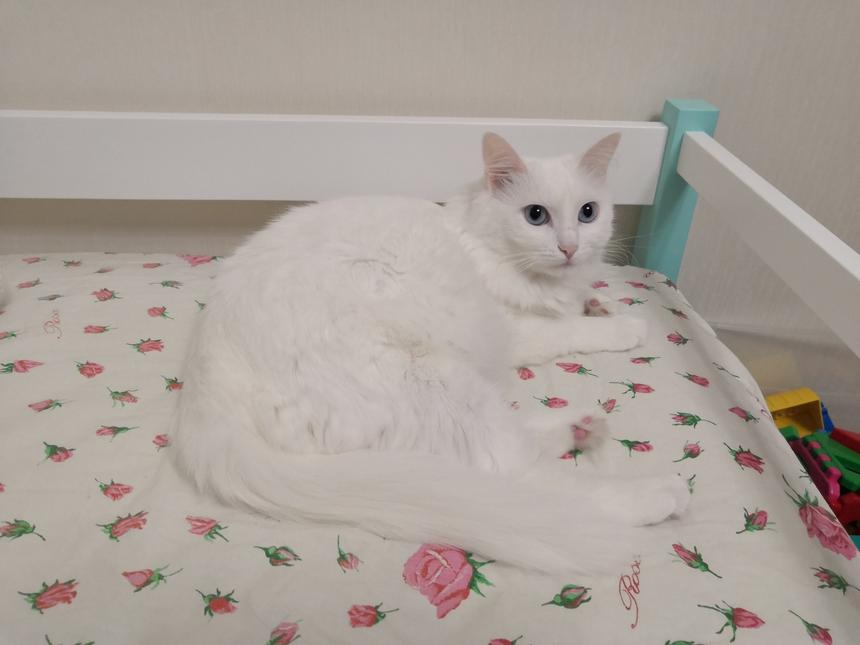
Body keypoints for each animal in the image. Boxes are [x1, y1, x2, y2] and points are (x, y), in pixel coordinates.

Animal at [173, 132, 690, 574]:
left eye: (588, 212)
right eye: (535, 215)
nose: (569, 247)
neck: (477, 241)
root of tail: (203, 407)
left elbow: (584, 302)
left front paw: (599, 301)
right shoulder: (516, 331)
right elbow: (569, 329)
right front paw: (625, 324)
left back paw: (581, 427)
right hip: (437, 382)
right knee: (515, 475)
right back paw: (657, 492)